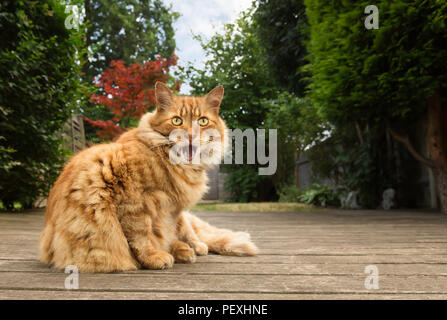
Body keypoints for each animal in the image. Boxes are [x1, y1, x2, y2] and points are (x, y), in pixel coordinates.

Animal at [40, 82, 260, 272]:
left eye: (203, 121)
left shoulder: (172, 209)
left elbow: (176, 229)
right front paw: (153, 257)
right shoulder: (135, 203)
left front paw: (182, 248)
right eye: (177, 120)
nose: (190, 135)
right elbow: (141, 236)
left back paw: (191, 248)